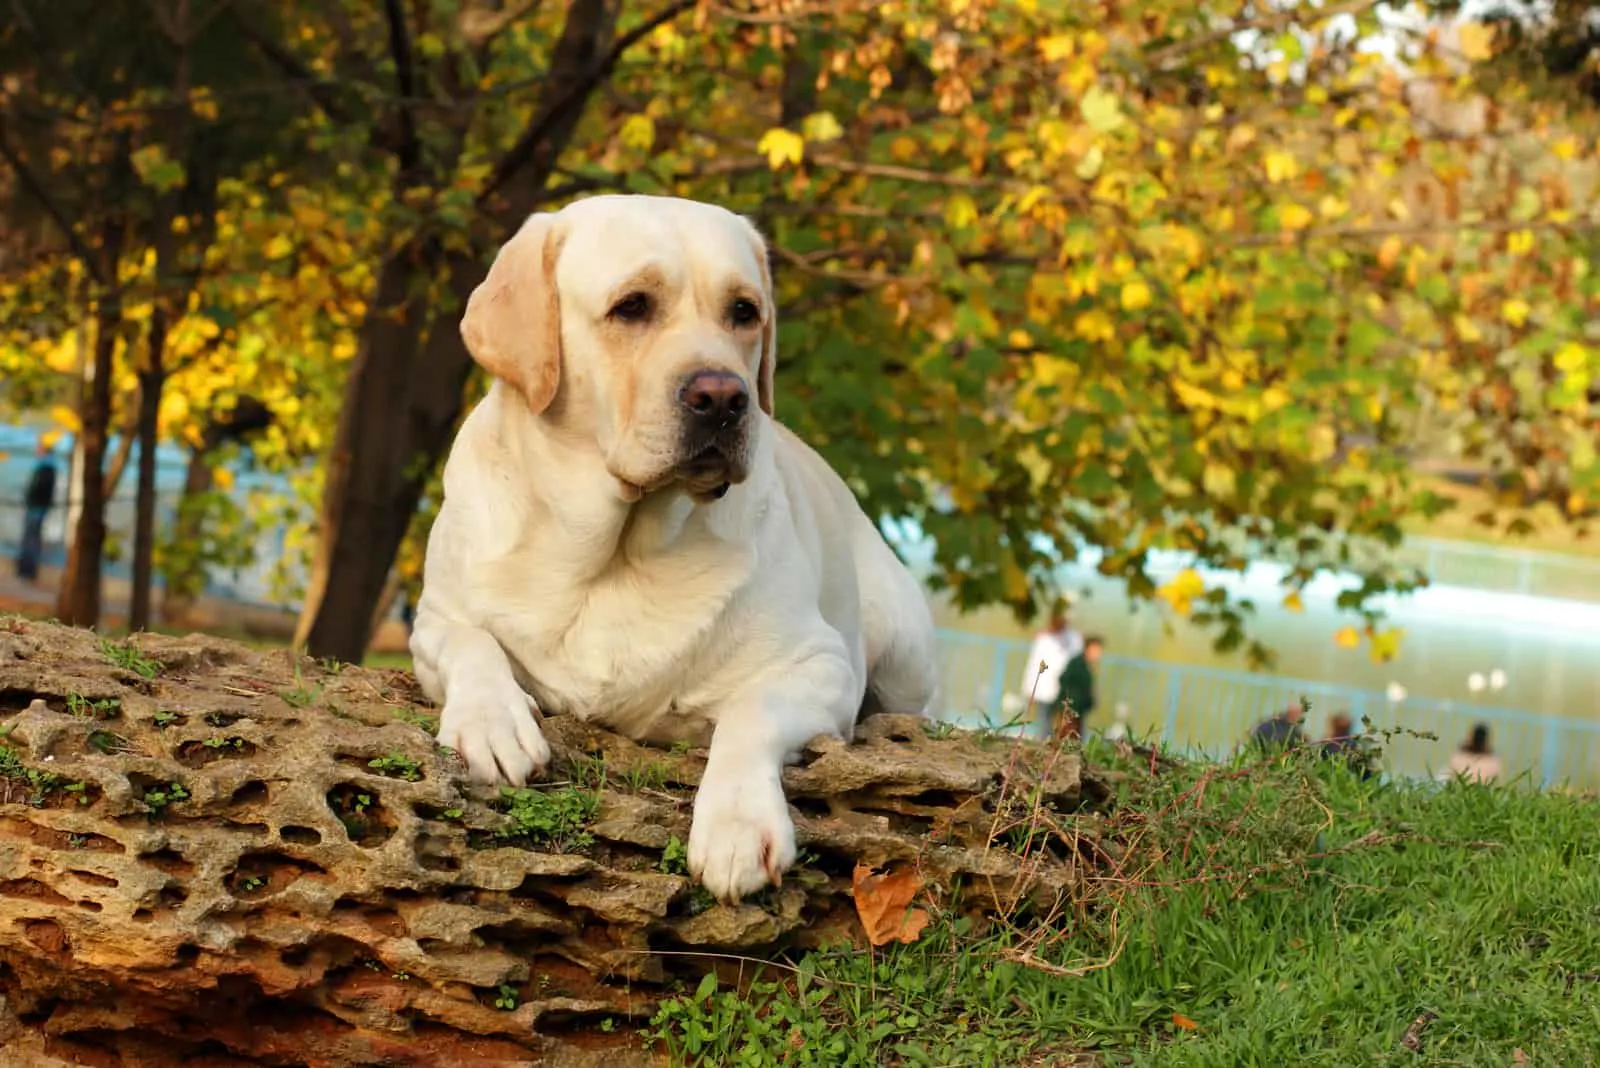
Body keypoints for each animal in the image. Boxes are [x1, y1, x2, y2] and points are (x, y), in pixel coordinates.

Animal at [409, 194, 934, 901]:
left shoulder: (821, 663)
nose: (725, 397)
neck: (613, 552)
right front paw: (492, 723)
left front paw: (737, 825)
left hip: (906, 648)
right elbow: (471, 641)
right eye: (632, 305)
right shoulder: (434, 619)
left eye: (744, 311)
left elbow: (751, 709)